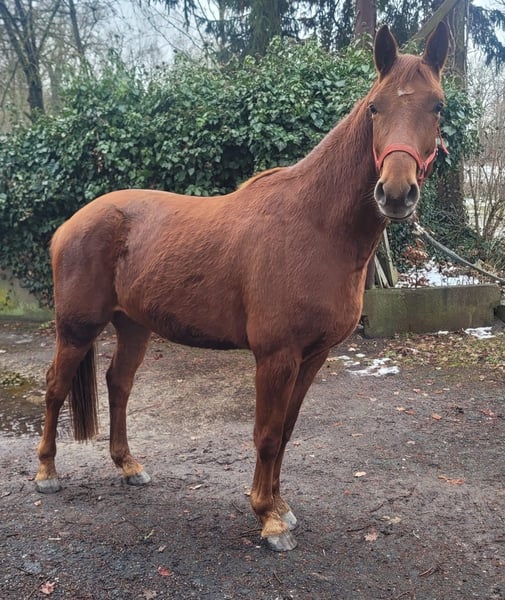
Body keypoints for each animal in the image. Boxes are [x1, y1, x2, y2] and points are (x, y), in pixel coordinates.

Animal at [35, 23, 449, 551]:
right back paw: (46, 473)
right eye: (375, 107)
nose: (395, 193)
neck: (315, 226)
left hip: (133, 326)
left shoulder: (312, 356)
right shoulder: (276, 356)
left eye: (436, 106)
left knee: (119, 384)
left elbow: (287, 431)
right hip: (76, 328)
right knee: (55, 387)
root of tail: (71, 224)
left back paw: (129, 466)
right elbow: (267, 434)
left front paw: (281, 505)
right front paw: (267, 518)